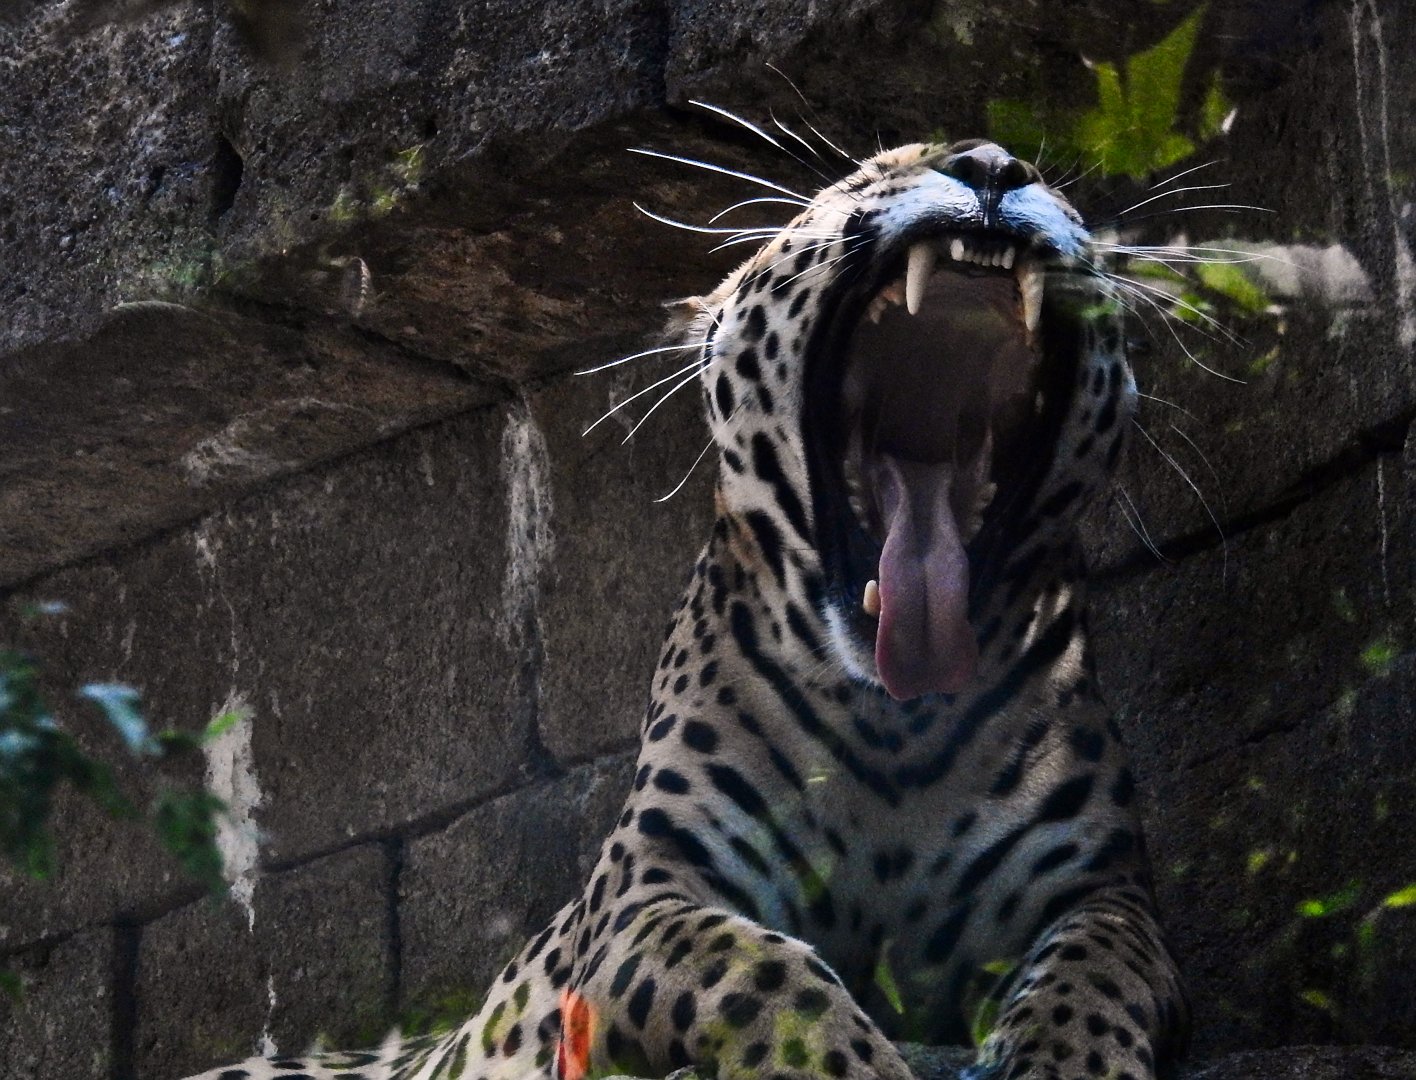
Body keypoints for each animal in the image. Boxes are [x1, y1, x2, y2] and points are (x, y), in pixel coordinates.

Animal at [188, 137, 1188, 1080]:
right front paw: (854, 1064)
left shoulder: (1107, 894)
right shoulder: (643, 901)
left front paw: (1071, 1062)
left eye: (1053, 187)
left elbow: (1096, 970)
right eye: (868, 175)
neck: (897, 725)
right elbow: (763, 971)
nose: (992, 166)